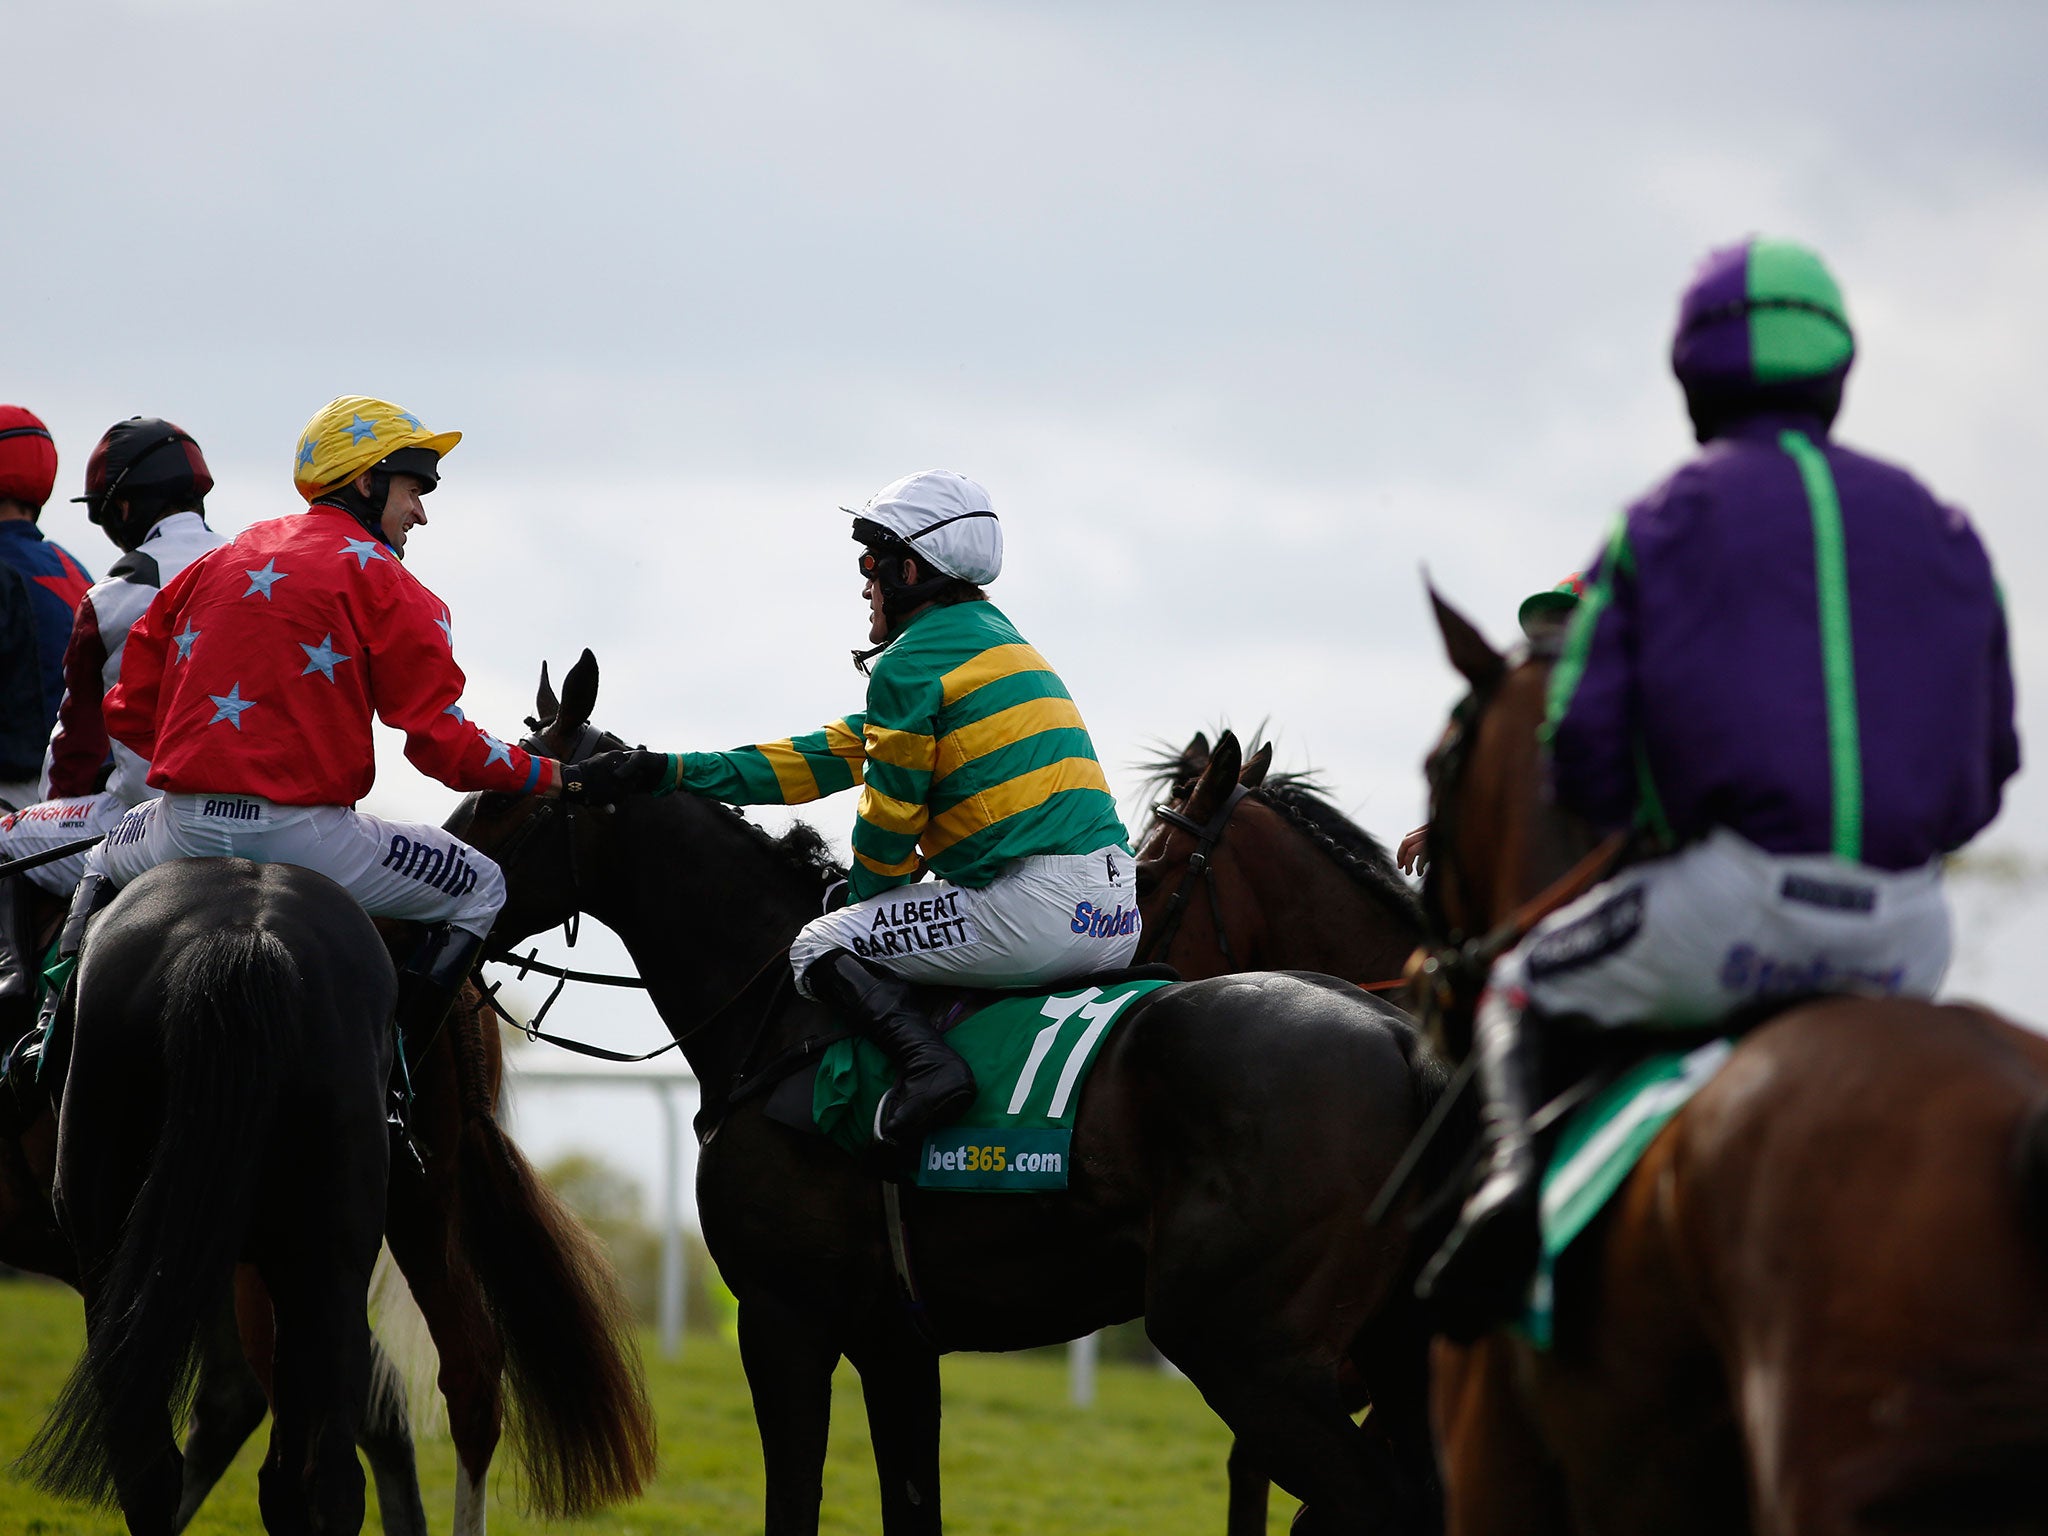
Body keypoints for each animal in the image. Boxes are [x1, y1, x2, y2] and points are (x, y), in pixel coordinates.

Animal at [448, 655, 1449, 1536]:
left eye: (502, 795)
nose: (430, 904)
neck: (785, 1016)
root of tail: (1406, 1043)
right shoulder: (897, 1340)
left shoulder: (783, 1317)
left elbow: (793, 1507)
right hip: (1390, 1355)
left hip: (1250, 1354)